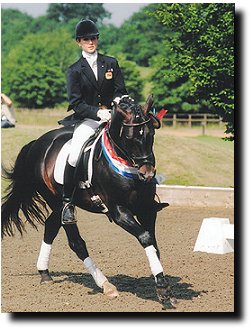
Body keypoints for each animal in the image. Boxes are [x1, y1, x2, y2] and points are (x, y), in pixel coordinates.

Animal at [0, 95, 176, 308]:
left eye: (151, 134)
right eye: (129, 137)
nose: (147, 174)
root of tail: (37, 143)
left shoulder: (146, 210)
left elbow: (154, 244)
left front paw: (162, 285)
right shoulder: (119, 211)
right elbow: (145, 237)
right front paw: (163, 289)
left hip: (58, 205)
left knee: (51, 226)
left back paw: (44, 273)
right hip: (57, 201)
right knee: (76, 242)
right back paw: (105, 285)